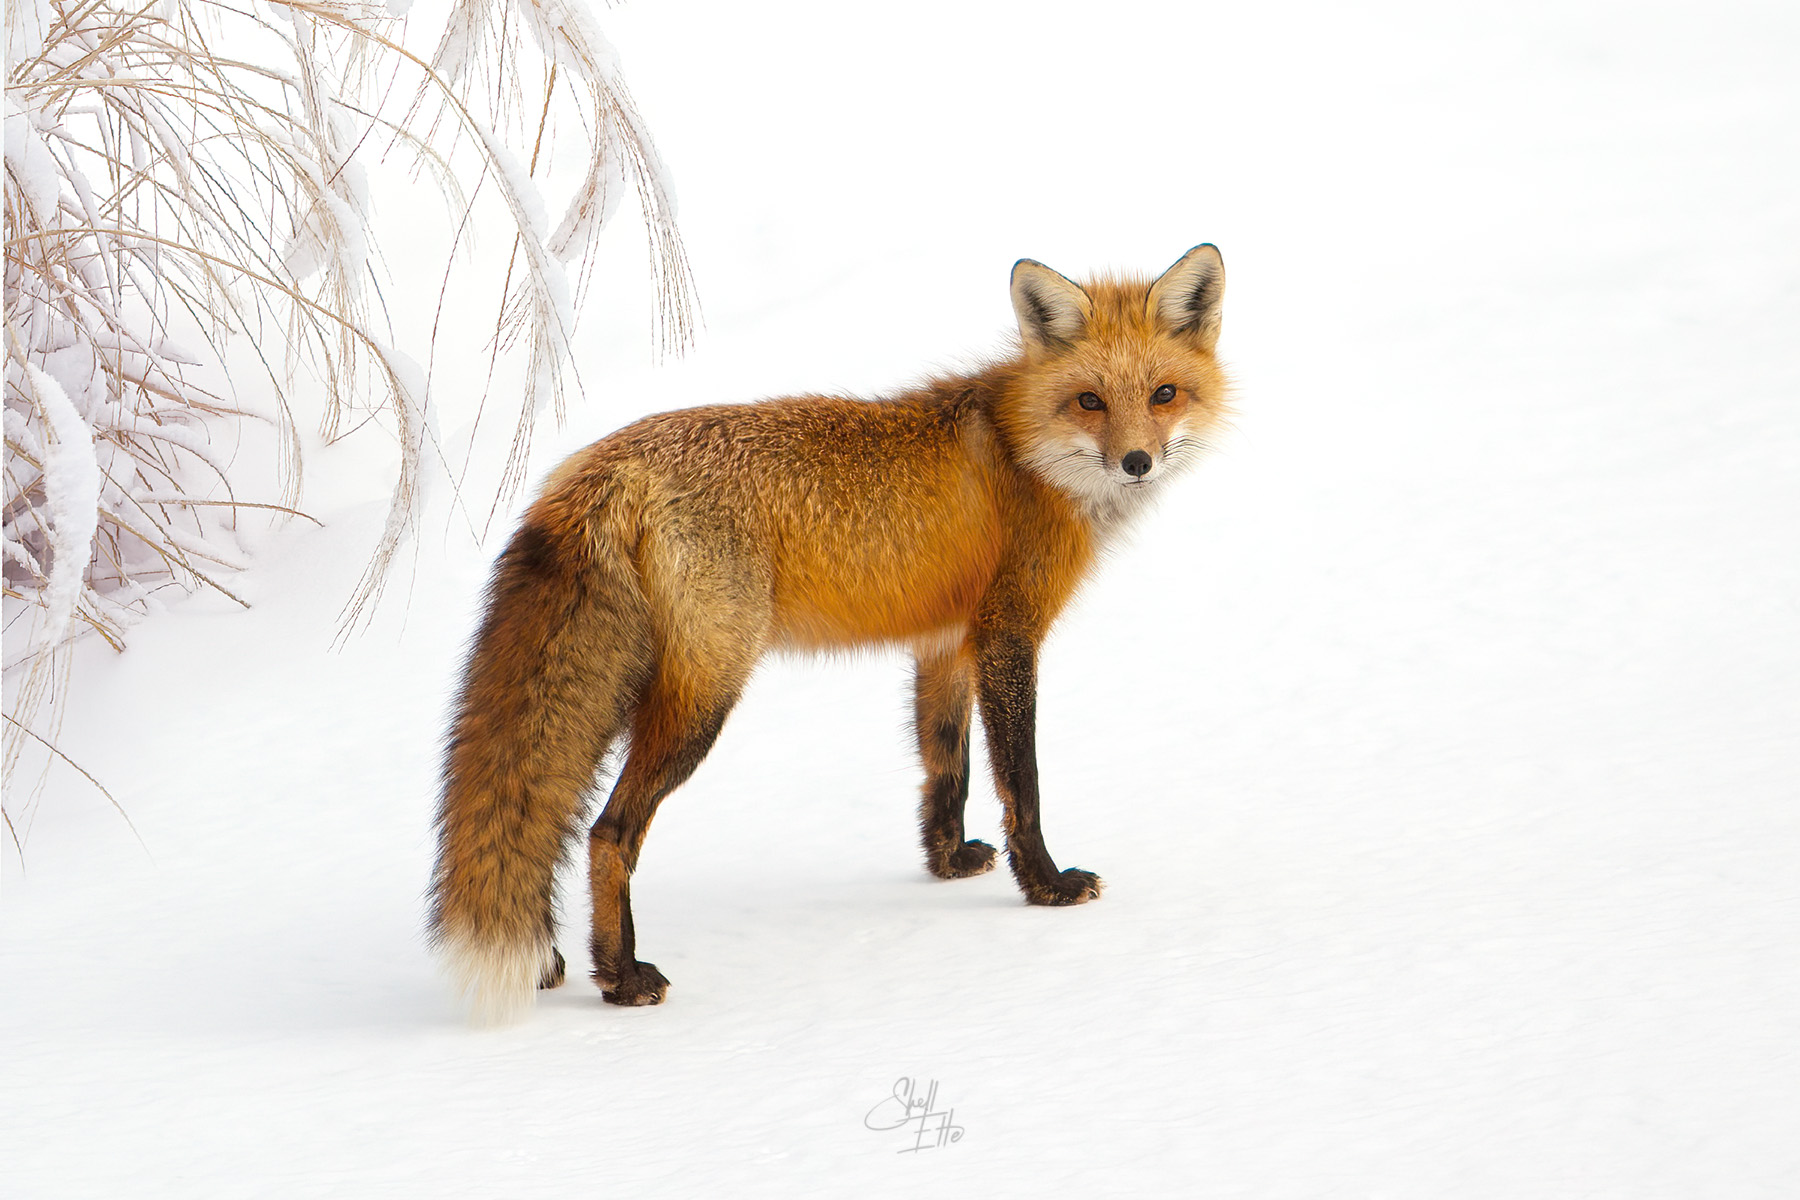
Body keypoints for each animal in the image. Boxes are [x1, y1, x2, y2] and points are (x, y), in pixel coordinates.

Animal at [429, 244, 1230, 1022]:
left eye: (1163, 394)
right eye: (1090, 400)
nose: (1137, 462)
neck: (1023, 451)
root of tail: (600, 473)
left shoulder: (947, 643)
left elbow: (947, 766)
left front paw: (947, 864)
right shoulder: (1009, 634)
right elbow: (1020, 782)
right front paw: (1045, 886)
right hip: (704, 695)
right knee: (608, 832)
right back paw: (622, 978)